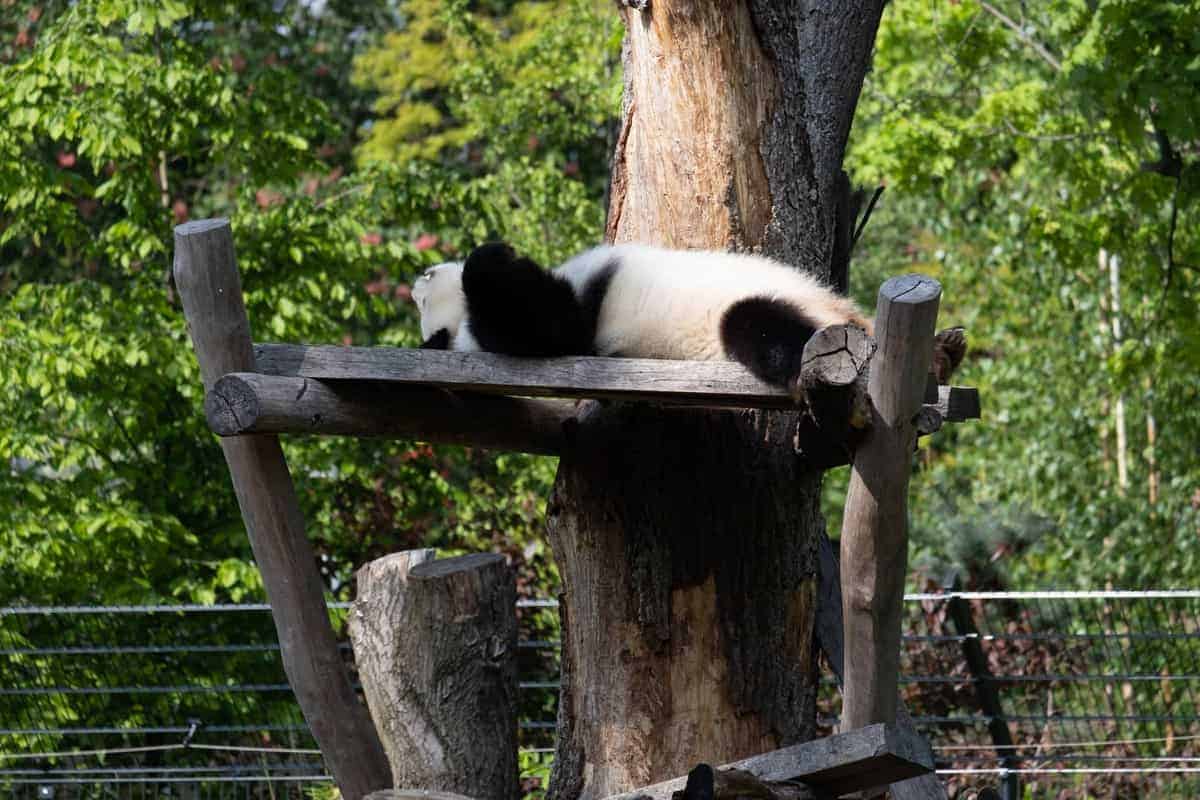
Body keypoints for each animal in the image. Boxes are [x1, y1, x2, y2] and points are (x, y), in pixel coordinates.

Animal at [412, 241, 963, 394]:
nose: (419, 277)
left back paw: (941, 350)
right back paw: (937, 358)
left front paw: (490, 254)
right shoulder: (572, 331)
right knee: (762, 328)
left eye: (427, 277)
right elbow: (551, 327)